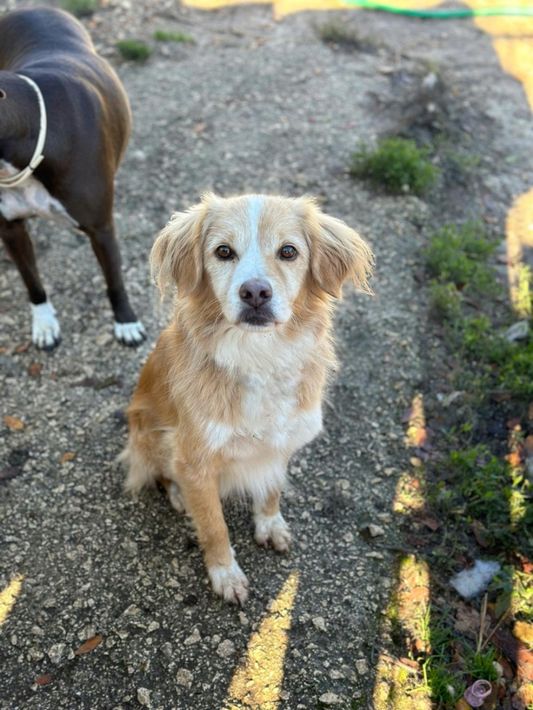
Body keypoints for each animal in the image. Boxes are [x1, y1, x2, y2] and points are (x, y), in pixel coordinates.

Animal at [0, 7, 145, 349]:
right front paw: (43, 323)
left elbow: (114, 280)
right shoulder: (11, 228)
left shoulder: (101, 228)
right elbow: (31, 280)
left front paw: (126, 322)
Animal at [122, 193, 374, 603]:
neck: (260, 355)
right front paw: (225, 575)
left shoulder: (281, 441)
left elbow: (271, 487)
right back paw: (178, 494)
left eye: (288, 251)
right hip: (150, 434)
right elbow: (214, 525)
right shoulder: (195, 458)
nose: (255, 292)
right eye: (223, 251)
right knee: (160, 472)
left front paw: (269, 524)